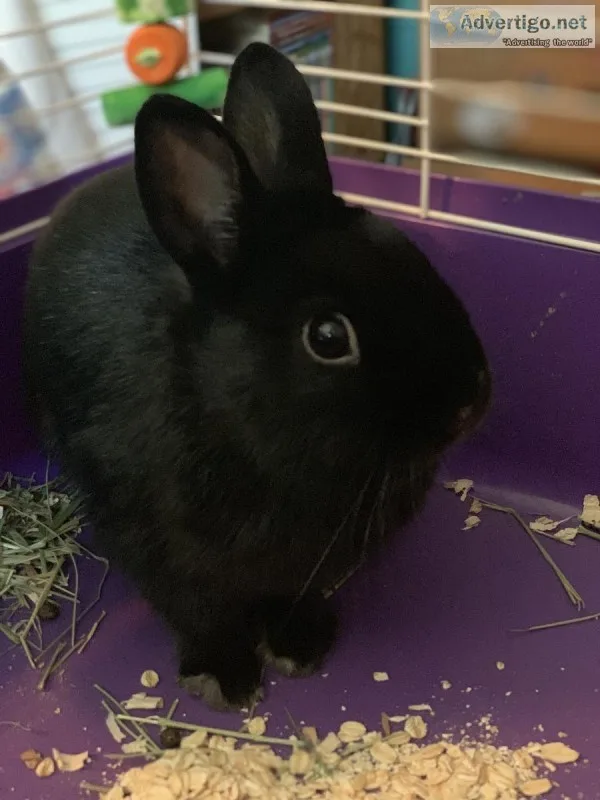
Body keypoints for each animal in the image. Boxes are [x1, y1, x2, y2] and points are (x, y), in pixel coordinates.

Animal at [22, 42, 491, 712]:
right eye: (328, 338)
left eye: (414, 257)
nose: (470, 400)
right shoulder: (157, 549)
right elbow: (198, 612)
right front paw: (222, 678)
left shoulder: (300, 573)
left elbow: (289, 599)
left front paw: (301, 646)